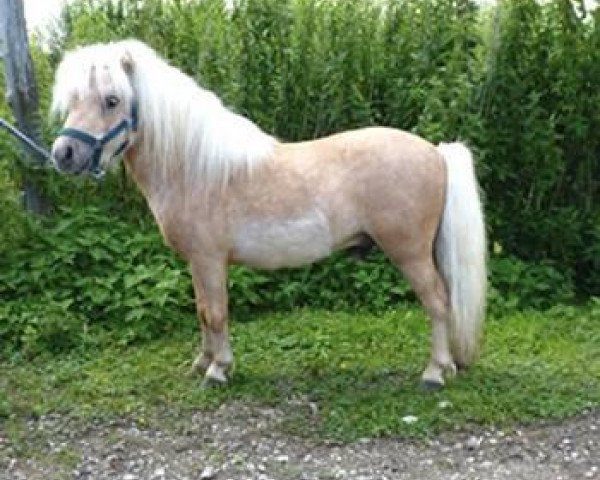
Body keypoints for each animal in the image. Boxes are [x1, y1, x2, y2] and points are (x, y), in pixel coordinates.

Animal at [51, 38, 488, 390]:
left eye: (112, 100)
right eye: (73, 101)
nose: (63, 154)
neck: (193, 168)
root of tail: (436, 152)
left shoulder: (209, 260)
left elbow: (215, 313)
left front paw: (219, 371)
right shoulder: (197, 263)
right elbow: (202, 311)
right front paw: (202, 363)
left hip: (409, 253)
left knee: (437, 301)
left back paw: (434, 373)